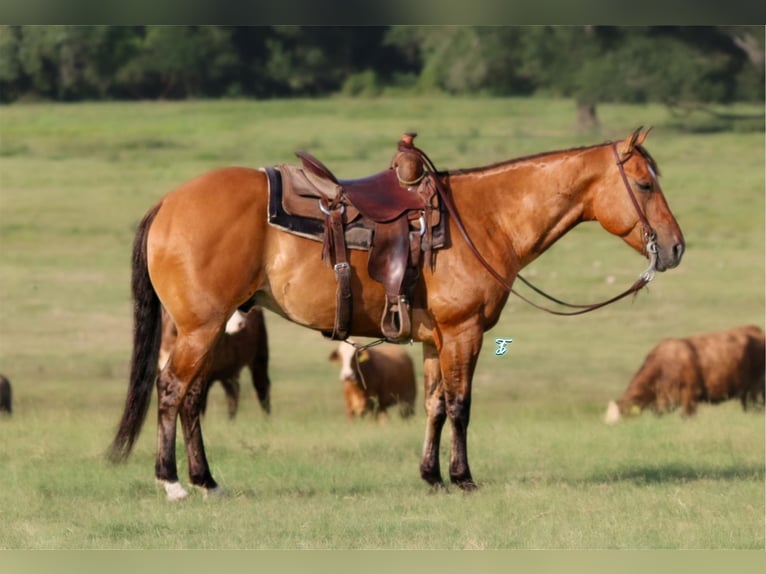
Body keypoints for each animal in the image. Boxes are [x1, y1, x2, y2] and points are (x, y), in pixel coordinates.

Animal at [111, 128, 688, 502]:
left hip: (203, 331)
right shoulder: (464, 332)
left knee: (191, 399)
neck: (486, 218)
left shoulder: (436, 340)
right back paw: (172, 483)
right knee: (173, 391)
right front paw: (463, 479)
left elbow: (434, 405)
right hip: (201, 328)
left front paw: (431, 477)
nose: (676, 247)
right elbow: (460, 406)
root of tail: (168, 204)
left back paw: (206, 480)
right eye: (645, 184)